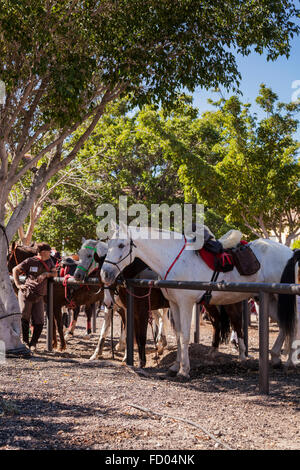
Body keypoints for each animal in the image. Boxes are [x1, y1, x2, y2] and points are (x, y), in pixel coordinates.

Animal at [101, 222, 298, 380]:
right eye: (108, 244)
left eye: (121, 244)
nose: (105, 274)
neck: (174, 258)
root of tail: (290, 252)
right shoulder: (174, 304)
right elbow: (178, 334)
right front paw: (175, 366)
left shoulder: (186, 303)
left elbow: (185, 336)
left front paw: (184, 371)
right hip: (269, 299)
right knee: (284, 324)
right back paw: (276, 357)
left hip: (282, 298)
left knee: (293, 322)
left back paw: (289, 360)